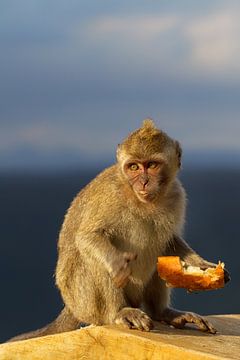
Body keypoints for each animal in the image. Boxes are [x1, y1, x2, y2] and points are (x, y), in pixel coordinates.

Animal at [7, 119, 229, 342]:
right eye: (134, 167)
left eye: (152, 165)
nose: (144, 182)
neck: (143, 201)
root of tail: (70, 307)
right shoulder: (111, 196)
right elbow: (88, 237)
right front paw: (117, 263)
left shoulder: (176, 195)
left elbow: (170, 242)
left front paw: (201, 266)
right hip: (83, 301)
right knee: (92, 260)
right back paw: (120, 311)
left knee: (158, 254)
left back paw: (163, 313)